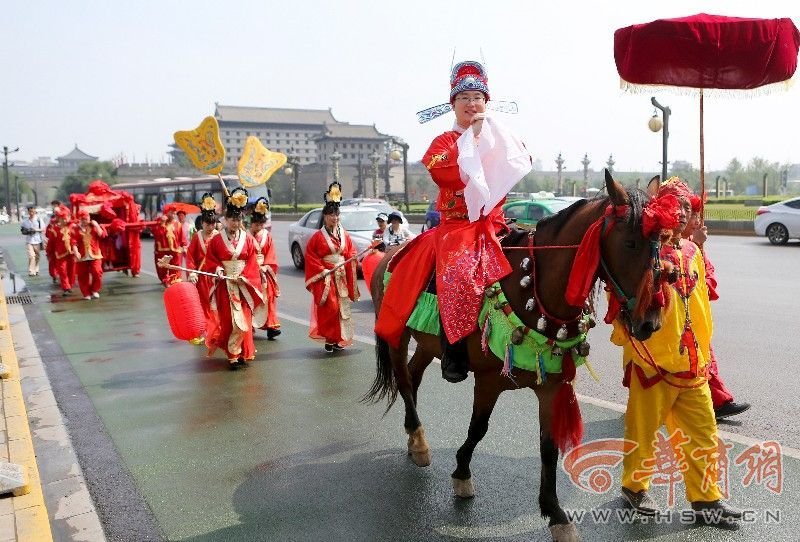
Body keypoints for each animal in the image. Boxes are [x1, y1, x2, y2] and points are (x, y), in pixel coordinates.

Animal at [364, 173, 664, 542]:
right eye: (630, 243)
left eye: (659, 243)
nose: (649, 322)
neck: (534, 286)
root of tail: (389, 251)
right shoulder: (488, 381)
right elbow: (478, 428)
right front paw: (462, 473)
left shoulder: (551, 387)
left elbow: (548, 448)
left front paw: (555, 513)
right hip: (395, 333)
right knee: (404, 381)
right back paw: (419, 442)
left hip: (427, 343)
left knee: (413, 374)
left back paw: (412, 433)